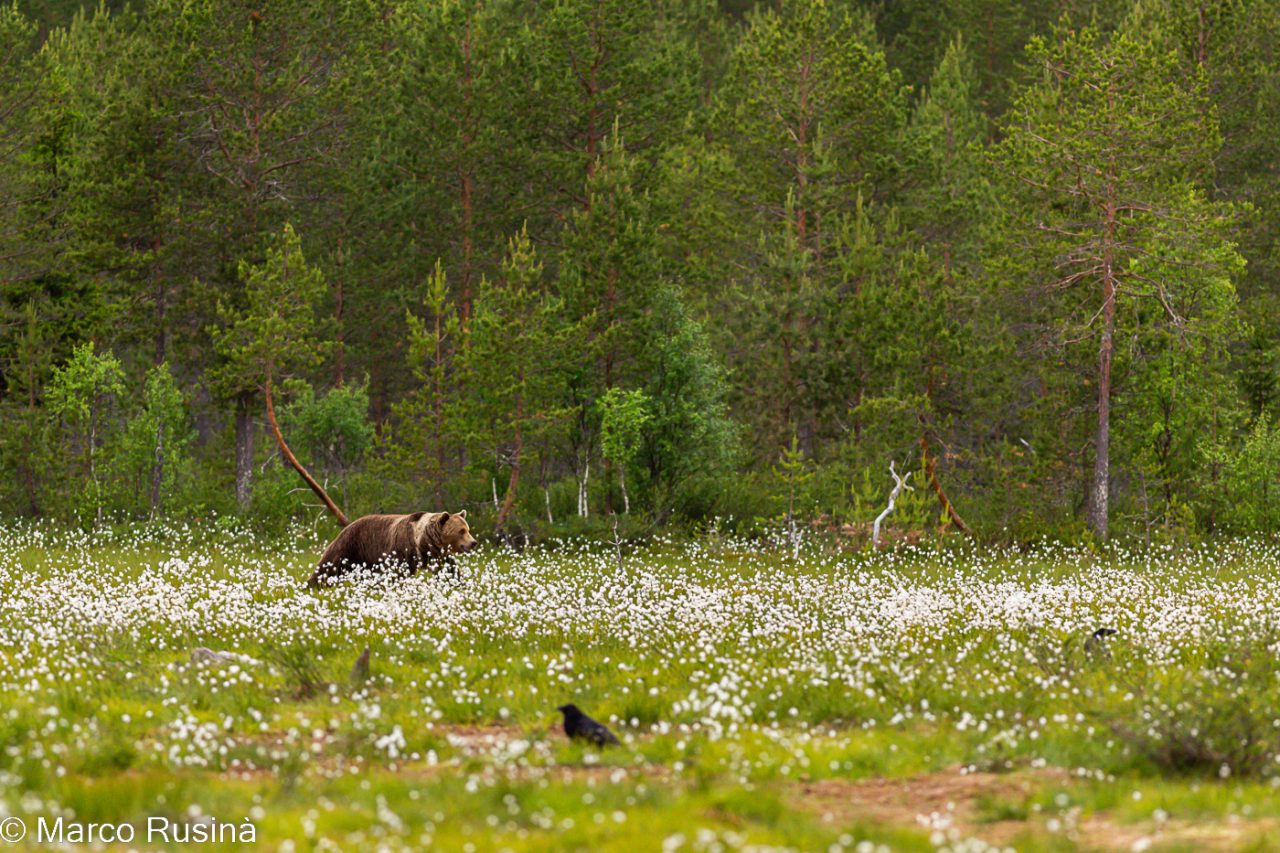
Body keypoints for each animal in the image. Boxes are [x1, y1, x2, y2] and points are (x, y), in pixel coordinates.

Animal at [305, 507, 481, 589]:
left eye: (467, 529)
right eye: (461, 531)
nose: (473, 542)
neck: (423, 542)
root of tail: (347, 526)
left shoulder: (437, 556)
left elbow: (449, 571)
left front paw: (459, 584)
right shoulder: (402, 550)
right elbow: (397, 573)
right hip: (350, 546)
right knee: (329, 567)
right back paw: (312, 585)